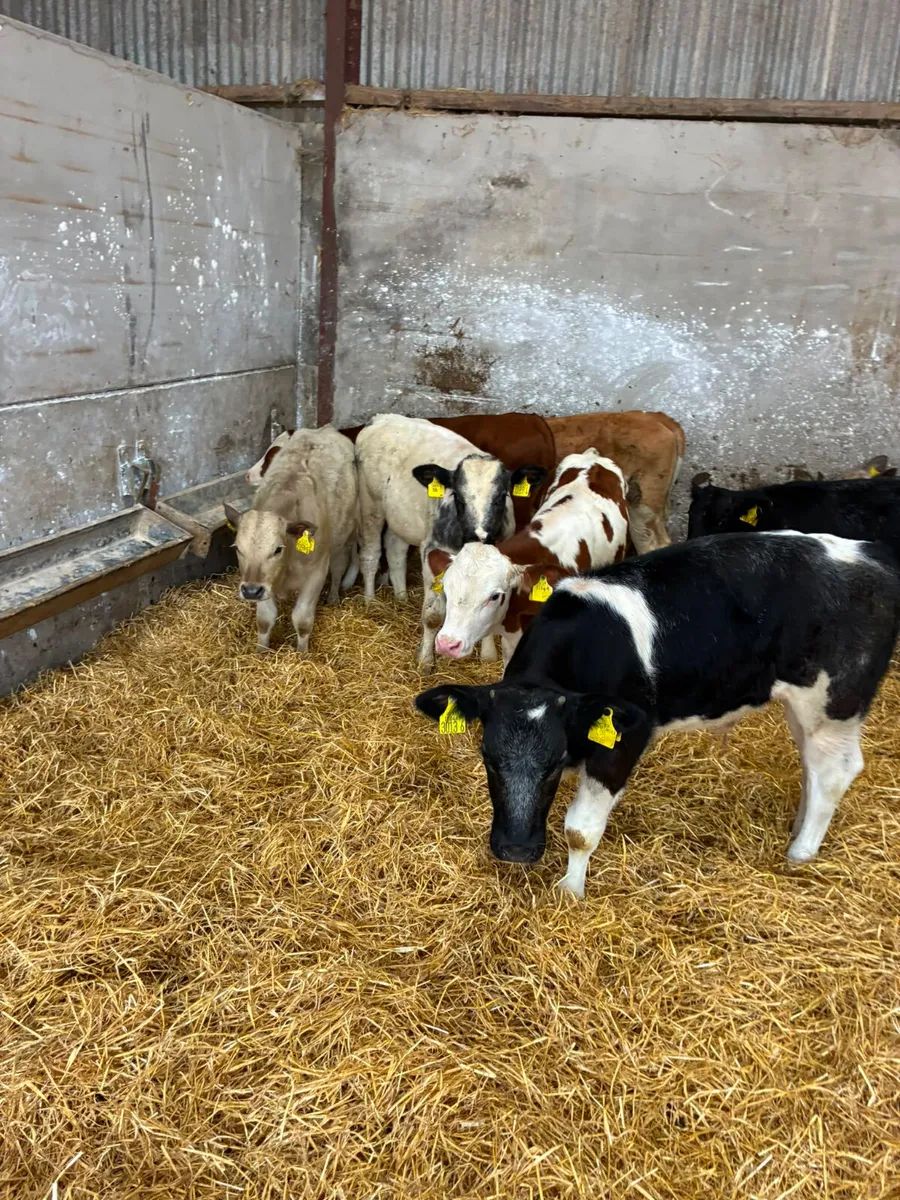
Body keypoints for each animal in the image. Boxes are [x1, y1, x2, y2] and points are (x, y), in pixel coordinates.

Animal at [225, 425, 357, 653]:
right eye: (238, 549)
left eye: (277, 549)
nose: (250, 591)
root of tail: (324, 429)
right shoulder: (264, 583)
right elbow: (264, 620)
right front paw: (261, 653)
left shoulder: (316, 574)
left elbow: (302, 620)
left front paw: (302, 654)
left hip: (343, 540)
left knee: (339, 569)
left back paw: (333, 597)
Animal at [355, 414, 546, 672]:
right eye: (458, 496)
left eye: (500, 497)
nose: (479, 535)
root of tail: (382, 418)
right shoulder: (432, 552)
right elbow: (433, 615)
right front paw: (426, 660)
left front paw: (488, 654)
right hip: (370, 507)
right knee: (371, 554)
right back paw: (370, 601)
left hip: (401, 518)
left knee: (395, 550)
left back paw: (401, 597)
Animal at [415, 532, 900, 898]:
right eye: (488, 758)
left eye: (553, 763)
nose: (515, 850)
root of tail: (871, 556)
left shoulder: (626, 736)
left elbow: (580, 829)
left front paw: (571, 889)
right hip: (804, 707)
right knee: (811, 767)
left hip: (835, 702)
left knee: (835, 771)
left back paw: (801, 852)